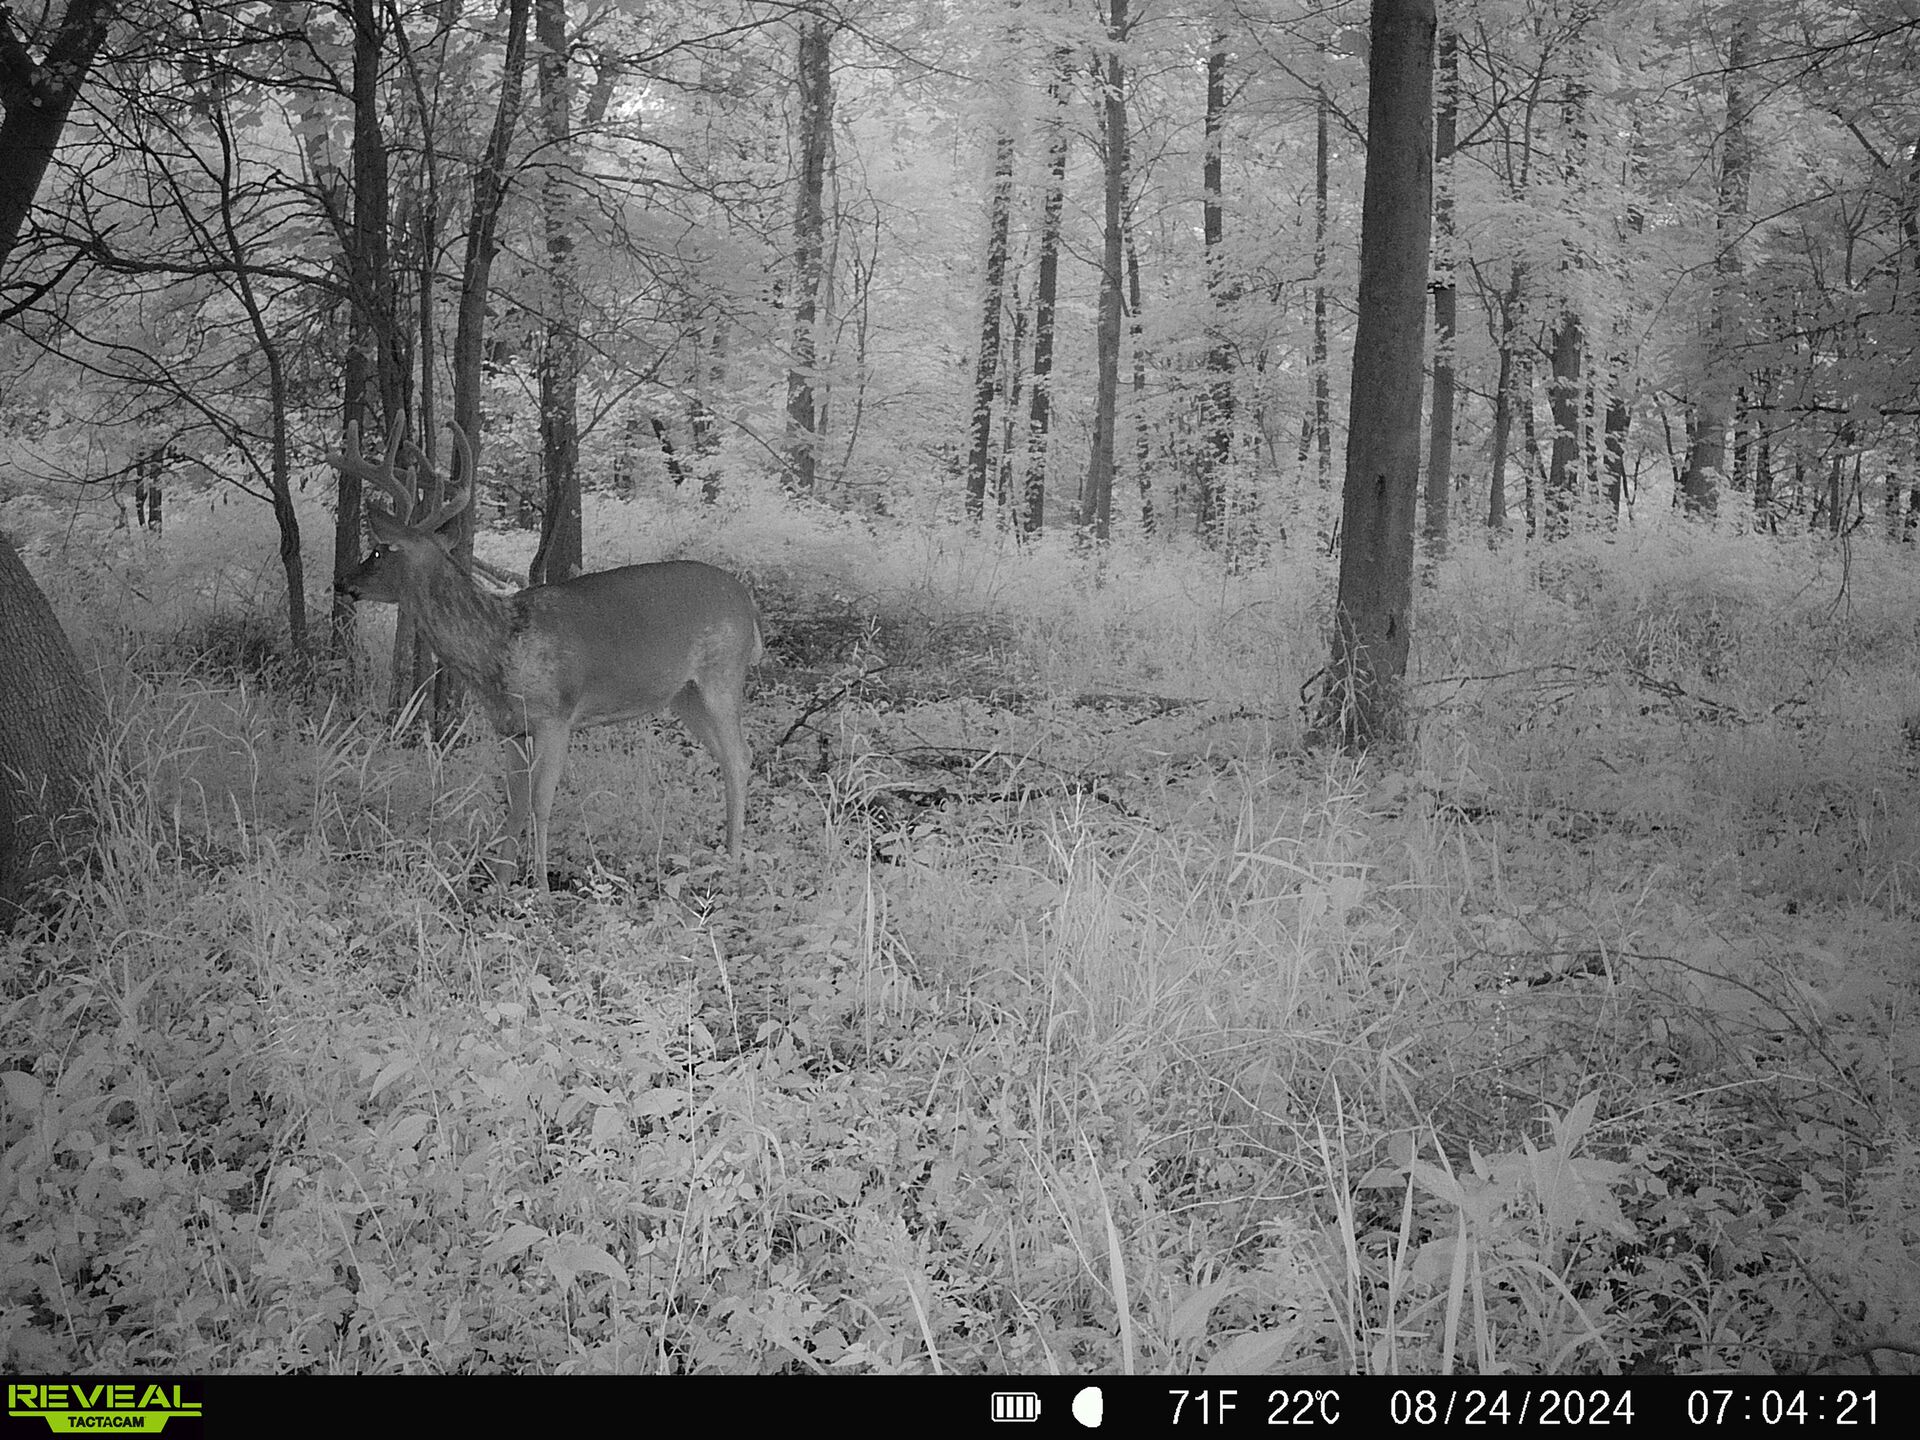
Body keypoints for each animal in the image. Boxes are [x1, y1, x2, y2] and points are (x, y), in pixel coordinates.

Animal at [327, 422, 762, 887]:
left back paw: (735, 862)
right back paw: (721, 854)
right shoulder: (511, 728)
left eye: (376, 551)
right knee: (728, 756)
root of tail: (748, 604)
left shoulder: (555, 716)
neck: (499, 647)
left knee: (740, 757)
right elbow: (514, 803)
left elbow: (540, 803)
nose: (341, 581)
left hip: (722, 673)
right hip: (685, 694)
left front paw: (539, 886)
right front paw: (501, 883)